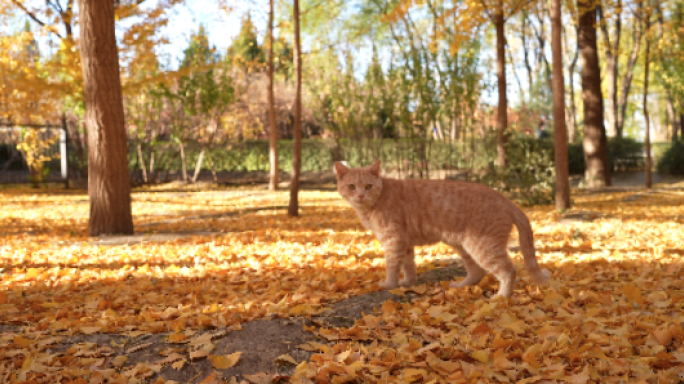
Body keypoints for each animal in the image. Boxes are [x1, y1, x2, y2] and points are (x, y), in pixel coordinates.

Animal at [336, 160, 552, 298]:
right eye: (352, 186)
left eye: (368, 186)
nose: (361, 195)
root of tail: (505, 199)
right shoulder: (404, 243)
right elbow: (408, 266)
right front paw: (407, 283)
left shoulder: (393, 240)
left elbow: (392, 266)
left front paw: (389, 285)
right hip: (465, 247)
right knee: (477, 273)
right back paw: (460, 285)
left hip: (483, 247)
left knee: (508, 271)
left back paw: (501, 297)